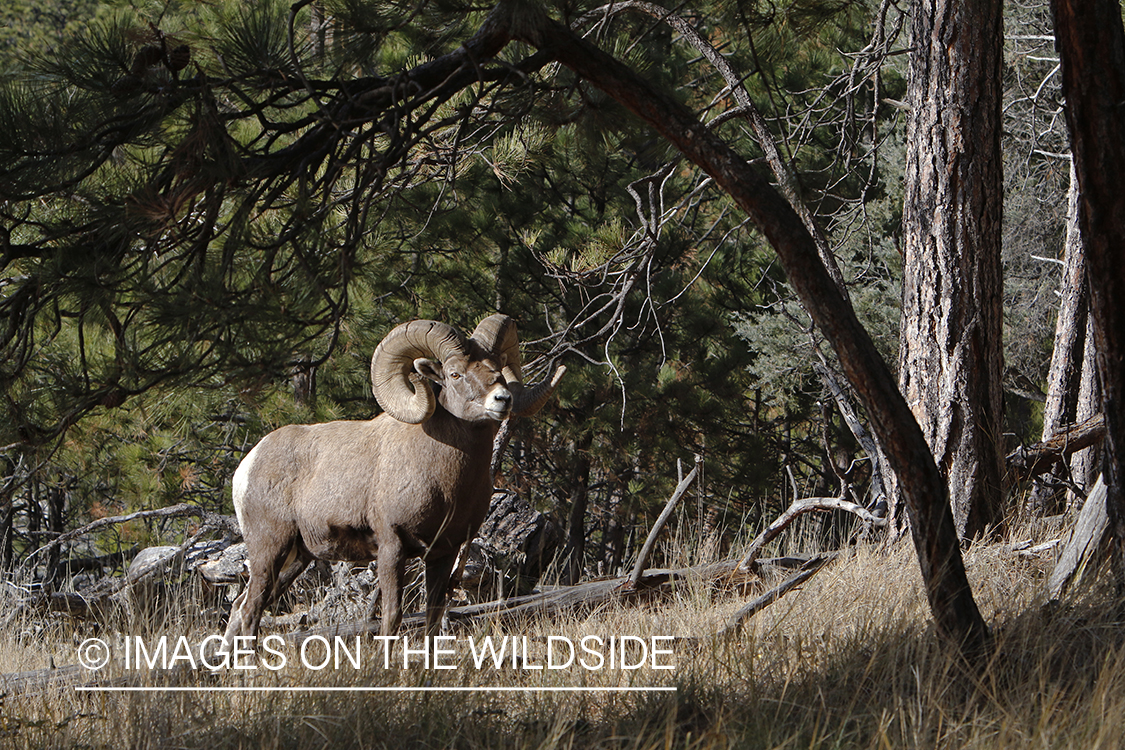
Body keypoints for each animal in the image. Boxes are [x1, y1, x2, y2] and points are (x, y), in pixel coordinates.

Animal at [221, 314, 564, 645]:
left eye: (497, 368)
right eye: (455, 374)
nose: (502, 399)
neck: (446, 484)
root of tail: (248, 465)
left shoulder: (444, 553)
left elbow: (433, 617)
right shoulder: (391, 547)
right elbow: (391, 616)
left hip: (296, 558)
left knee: (240, 608)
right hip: (269, 549)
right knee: (251, 610)